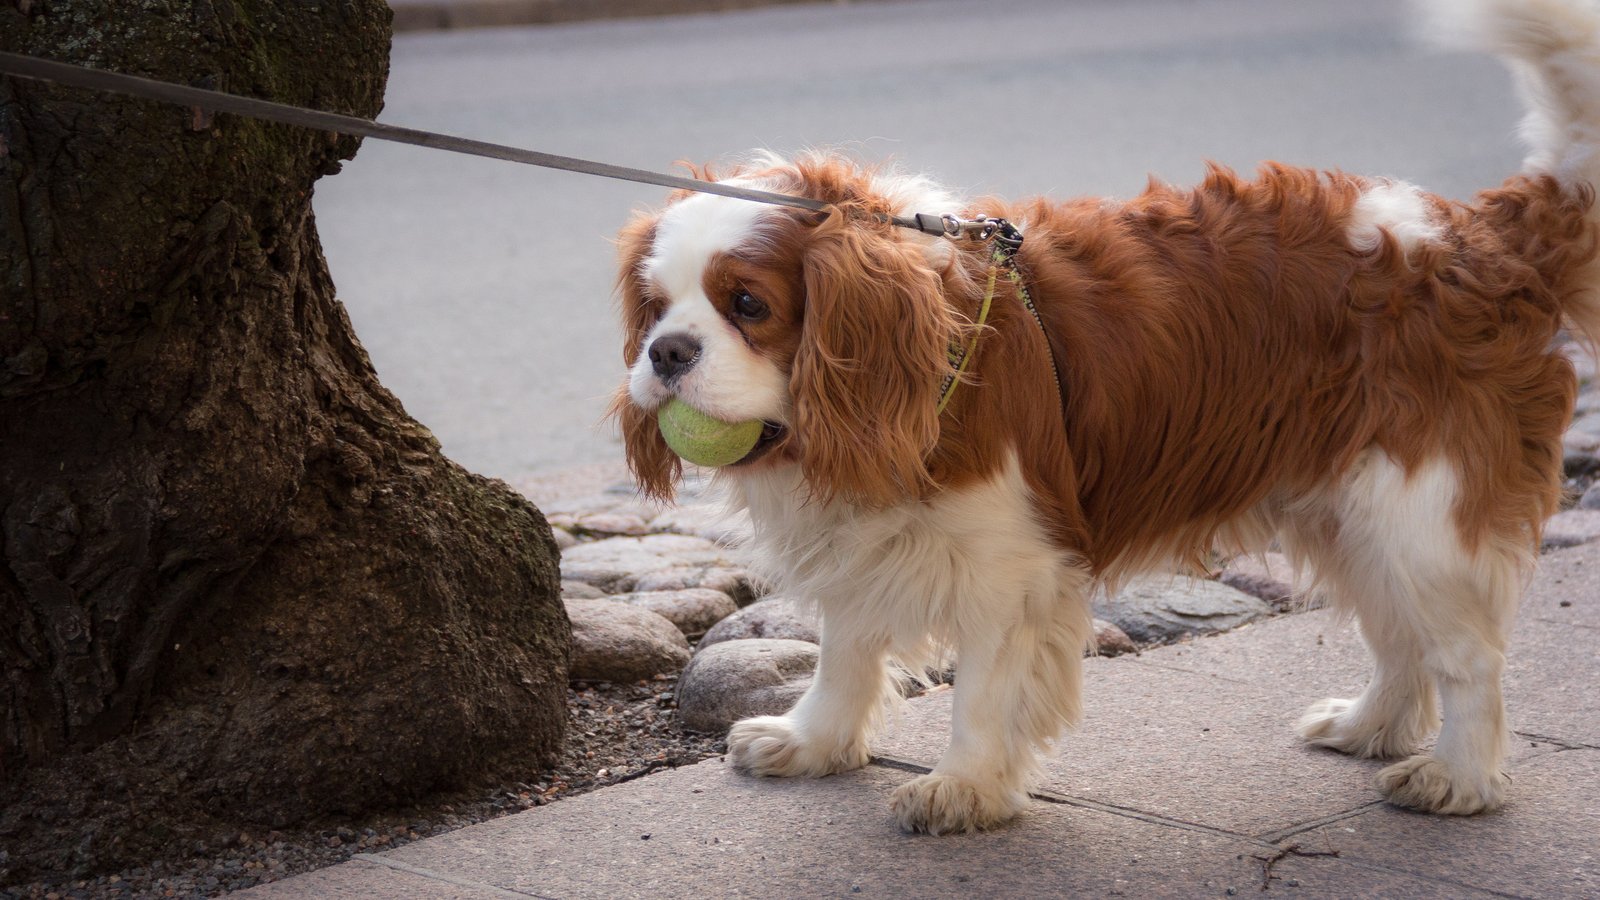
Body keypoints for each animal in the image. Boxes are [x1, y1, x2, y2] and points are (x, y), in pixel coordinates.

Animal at [604, 0, 1593, 832]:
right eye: (653, 309)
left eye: (748, 305)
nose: (667, 354)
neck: (929, 350)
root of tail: (1480, 235)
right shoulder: (865, 541)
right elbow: (844, 650)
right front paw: (813, 742)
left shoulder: (1011, 566)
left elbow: (982, 689)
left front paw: (965, 787)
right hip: (1349, 508)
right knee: (1397, 634)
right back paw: (1370, 726)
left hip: (1422, 509)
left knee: (1466, 656)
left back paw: (1459, 778)